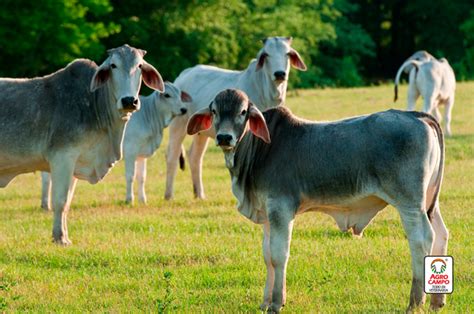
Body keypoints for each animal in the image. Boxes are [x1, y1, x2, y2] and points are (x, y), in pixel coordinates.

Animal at [0, 44, 164, 245]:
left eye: (140, 65)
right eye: (113, 66)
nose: (129, 101)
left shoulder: (76, 163)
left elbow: (67, 203)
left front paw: (63, 236)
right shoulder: (62, 158)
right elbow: (60, 200)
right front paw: (60, 239)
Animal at [164, 35, 308, 200]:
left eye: (288, 54)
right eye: (266, 54)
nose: (279, 74)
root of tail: (183, 75)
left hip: (201, 132)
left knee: (195, 156)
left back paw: (200, 194)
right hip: (178, 125)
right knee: (172, 155)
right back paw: (169, 195)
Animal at [186, 89, 448, 314]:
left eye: (242, 112)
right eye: (214, 111)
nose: (224, 137)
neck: (259, 150)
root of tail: (415, 115)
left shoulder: (281, 209)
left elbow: (279, 255)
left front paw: (276, 302)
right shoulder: (268, 214)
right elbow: (267, 256)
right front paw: (265, 301)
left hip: (410, 204)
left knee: (421, 240)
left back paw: (415, 302)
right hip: (428, 203)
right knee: (441, 234)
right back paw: (436, 300)